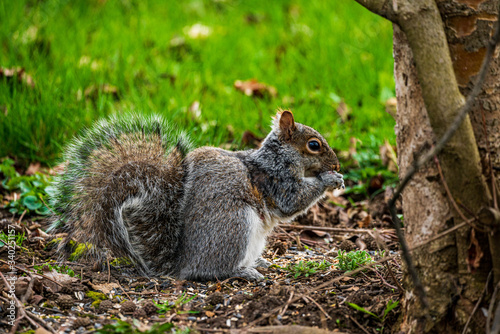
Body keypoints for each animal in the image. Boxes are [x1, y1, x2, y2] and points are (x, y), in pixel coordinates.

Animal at [49, 111, 344, 280]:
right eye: (314, 145)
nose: (338, 165)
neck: (277, 158)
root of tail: (180, 265)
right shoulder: (276, 181)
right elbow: (292, 201)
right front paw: (329, 179)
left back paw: (259, 262)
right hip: (236, 225)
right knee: (212, 271)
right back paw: (243, 272)